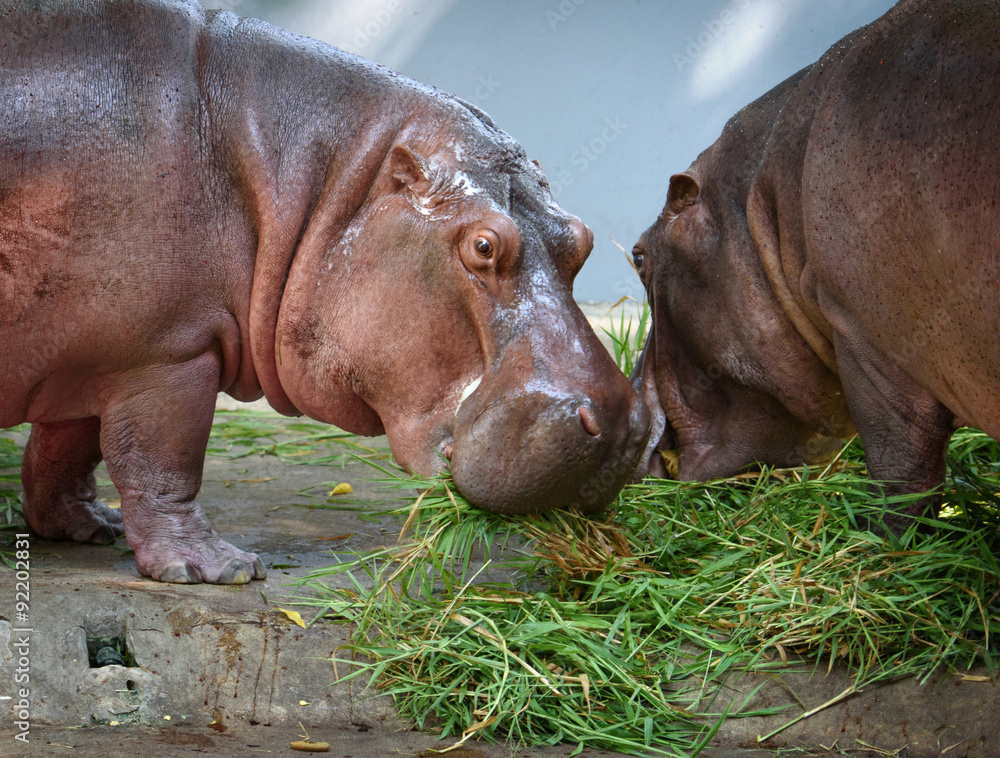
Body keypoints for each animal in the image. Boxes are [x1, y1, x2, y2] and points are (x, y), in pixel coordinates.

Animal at [0, 0, 648, 584]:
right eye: (484, 246)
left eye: (583, 239)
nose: (623, 426)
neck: (317, 183)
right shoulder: (166, 353)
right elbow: (163, 460)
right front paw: (217, 569)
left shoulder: (96, 354)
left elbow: (66, 449)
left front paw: (86, 526)